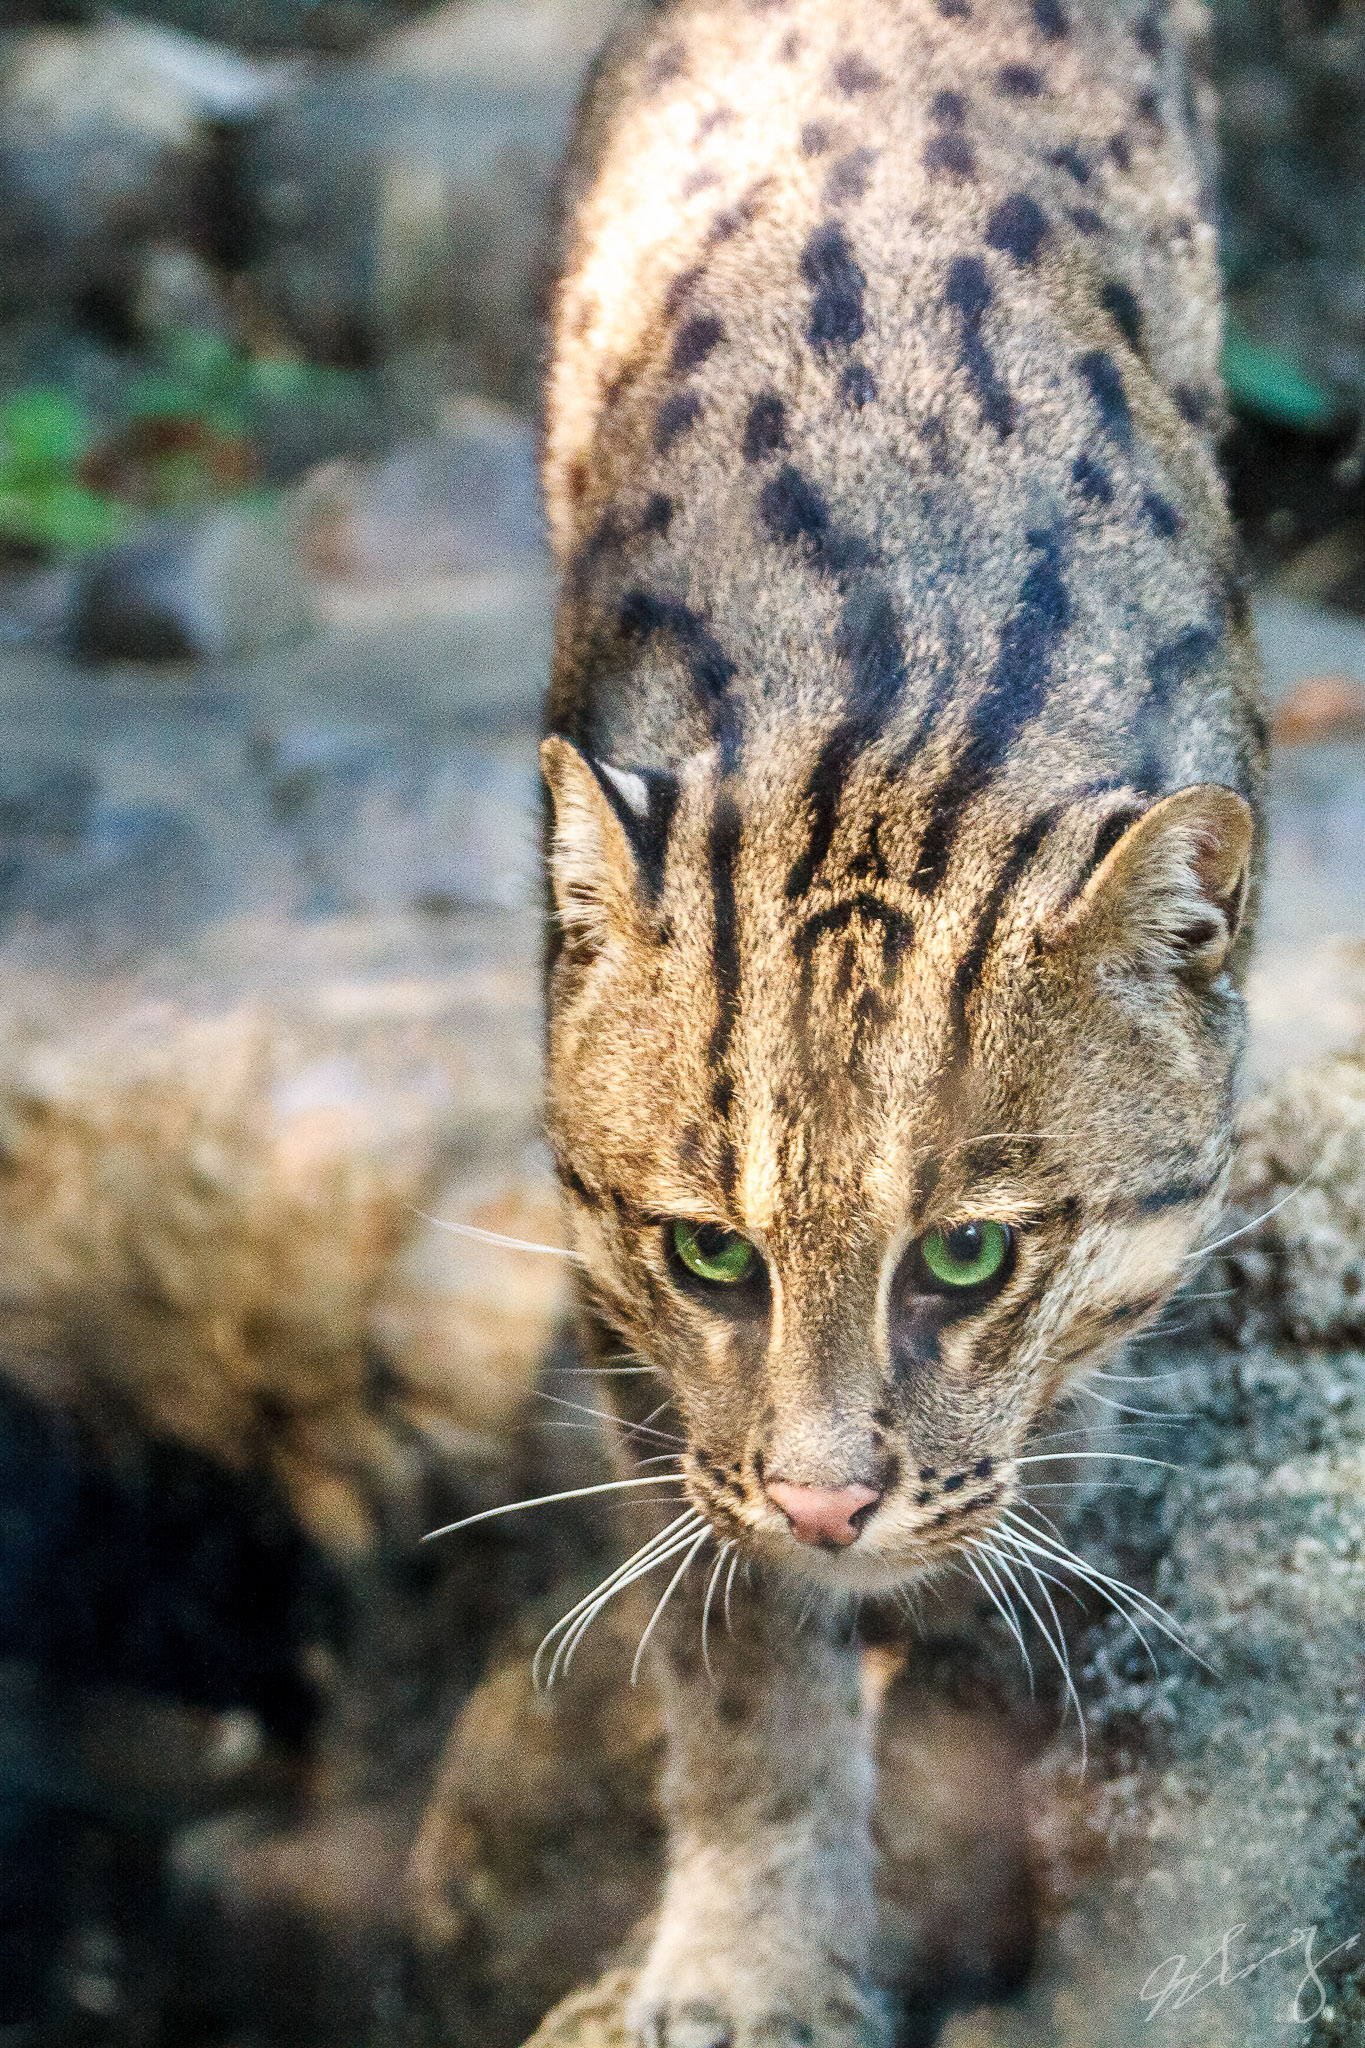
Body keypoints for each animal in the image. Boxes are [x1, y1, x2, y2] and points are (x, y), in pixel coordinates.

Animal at [536, 4, 1268, 2031]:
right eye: (711, 1253)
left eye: (965, 1256)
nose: (828, 1508)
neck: (894, 710)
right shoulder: (638, 1327)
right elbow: (732, 1649)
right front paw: (752, 1953)